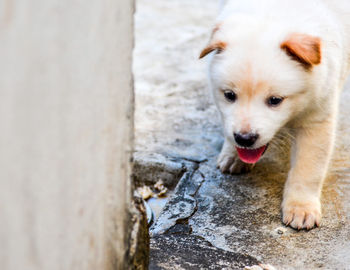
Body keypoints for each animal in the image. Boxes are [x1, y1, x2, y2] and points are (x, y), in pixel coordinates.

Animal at [200, 0, 350, 230]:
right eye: (229, 95)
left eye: (275, 100)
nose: (244, 139)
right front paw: (232, 153)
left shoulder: (317, 118)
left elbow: (308, 168)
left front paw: (301, 207)